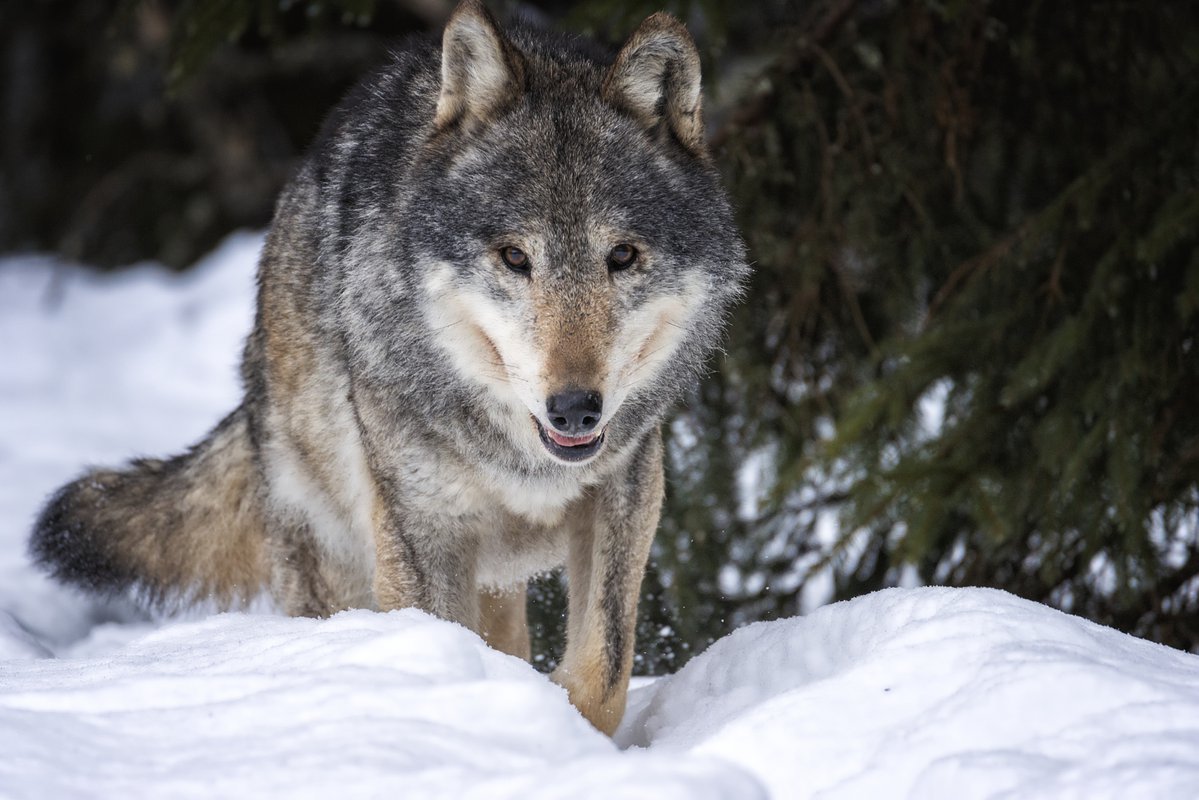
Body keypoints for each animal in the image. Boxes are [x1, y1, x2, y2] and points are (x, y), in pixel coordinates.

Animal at [28, 0, 743, 734]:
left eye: (621, 256)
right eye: (514, 257)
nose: (574, 408)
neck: (522, 462)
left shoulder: (627, 492)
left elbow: (603, 669)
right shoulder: (422, 534)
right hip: (340, 562)